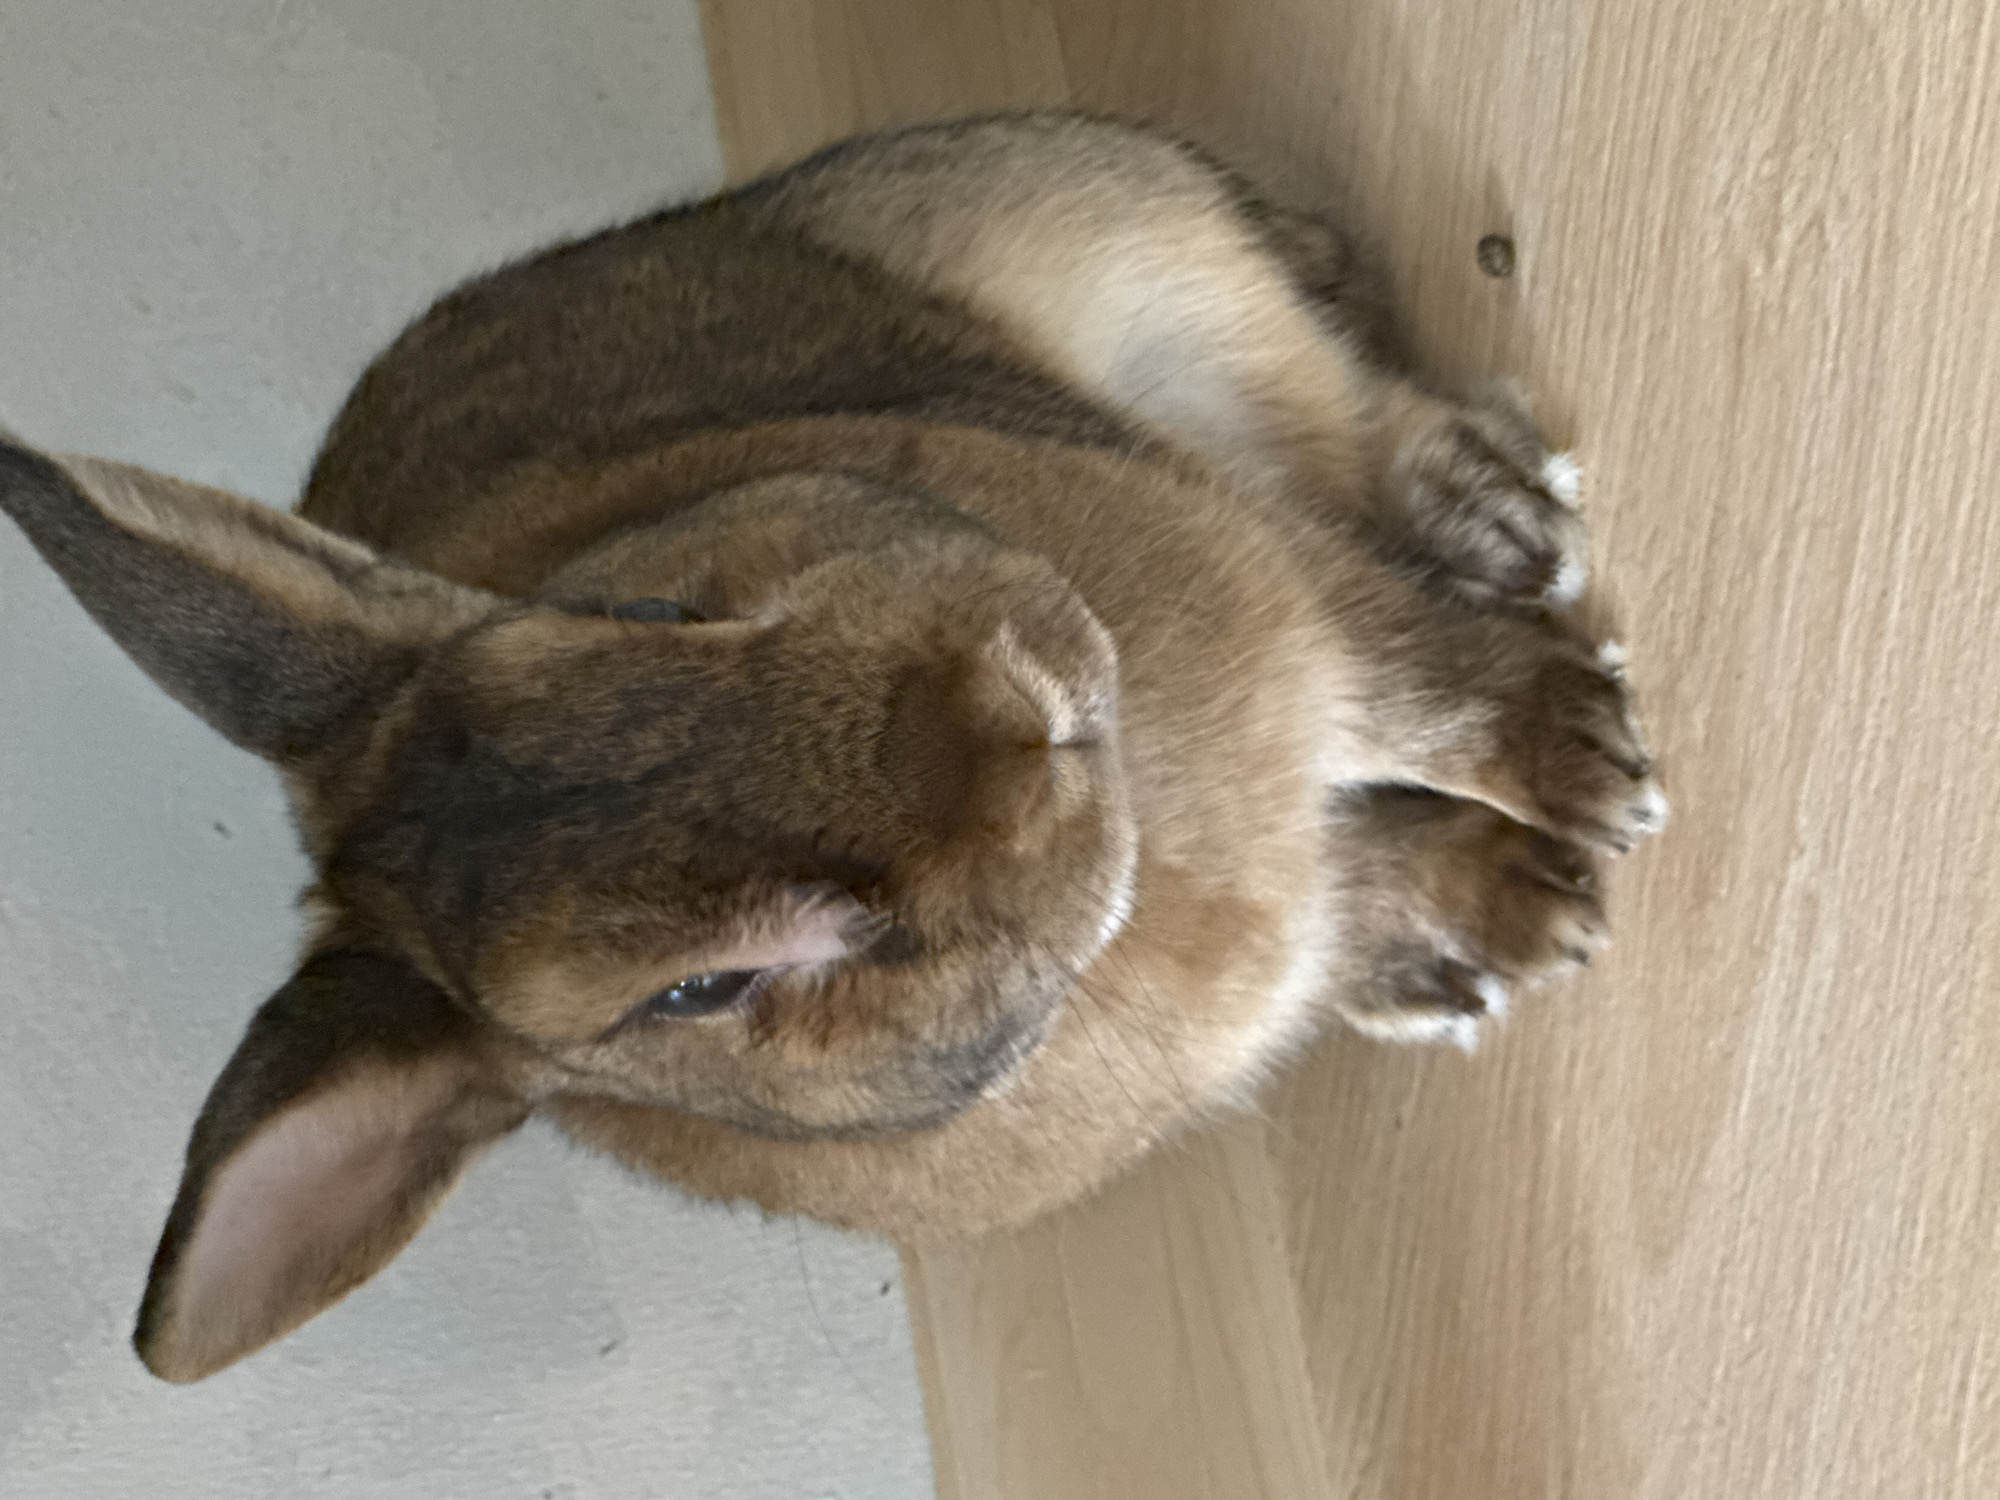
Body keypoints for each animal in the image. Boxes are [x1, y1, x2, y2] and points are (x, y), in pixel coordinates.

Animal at [0, 111, 1664, 1384]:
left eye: (640, 607)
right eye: (701, 991)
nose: (1009, 723)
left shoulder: (1275, 582)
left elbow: (1412, 680)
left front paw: (1587, 763)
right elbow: (1371, 833)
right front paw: (1536, 903)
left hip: (1138, 265)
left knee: (1342, 388)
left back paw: (1500, 515)